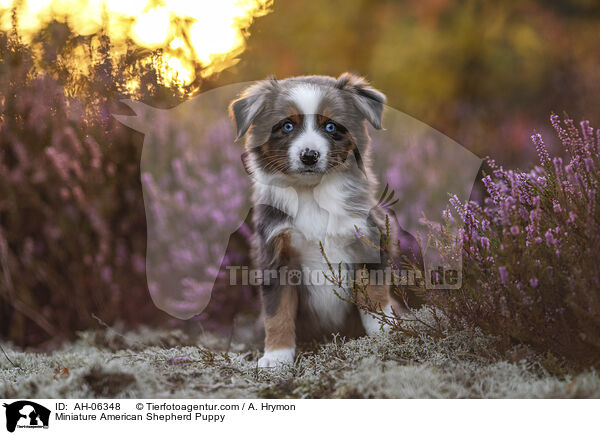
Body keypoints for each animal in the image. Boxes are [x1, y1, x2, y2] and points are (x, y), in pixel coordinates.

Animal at [229, 72, 398, 368]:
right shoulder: (275, 255)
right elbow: (277, 313)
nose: (309, 155)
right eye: (286, 126)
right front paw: (276, 357)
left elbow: (375, 295)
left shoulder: (369, 238)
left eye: (331, 126)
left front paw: (384, 331)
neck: (311, 195)